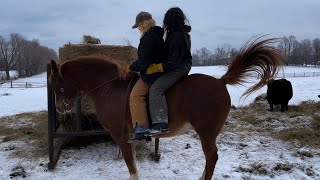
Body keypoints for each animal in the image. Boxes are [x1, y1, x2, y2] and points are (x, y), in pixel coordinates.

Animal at [47, 37, 282, 179]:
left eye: (57, 85)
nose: (59, 109)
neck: (110, 87)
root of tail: (220, 81)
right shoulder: (127, 137)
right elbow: (132, 162)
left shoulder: (120, 135)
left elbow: (131, 165)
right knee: (211, 159)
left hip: (206, 132)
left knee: (212, 157)